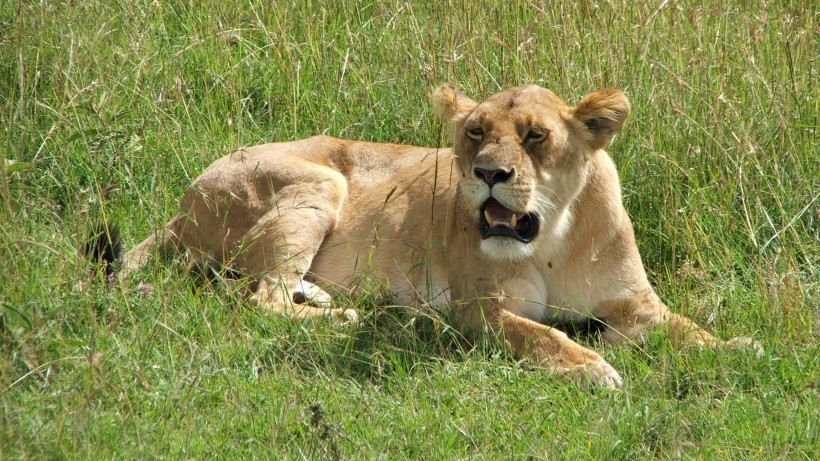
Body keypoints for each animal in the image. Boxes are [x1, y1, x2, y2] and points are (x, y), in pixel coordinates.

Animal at [118, 83, 760, 388]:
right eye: (475, 133)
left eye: (535, 136)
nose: (489, 173)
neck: (551, 235)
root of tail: (180, 205)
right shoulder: (482, 308)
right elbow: (543, 335)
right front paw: (590, 368)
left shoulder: (636, 304)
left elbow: (688, 329)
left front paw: (737, 347)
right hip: (317, 180)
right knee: (259, 299)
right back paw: (350, 314)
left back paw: (326, 295)